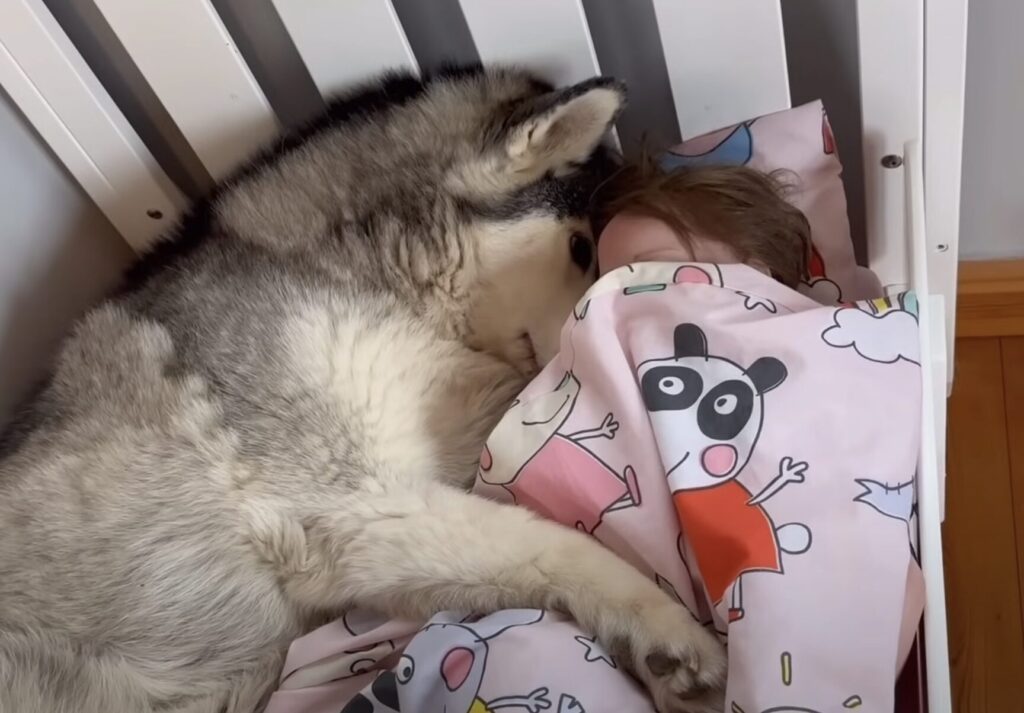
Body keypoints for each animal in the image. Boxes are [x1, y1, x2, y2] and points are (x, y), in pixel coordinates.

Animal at [0, 66, 725, 713]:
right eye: (581, 249)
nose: (587, 337)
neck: (354, 274)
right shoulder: (357, 510)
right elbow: (560, 544)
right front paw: (672, 630)